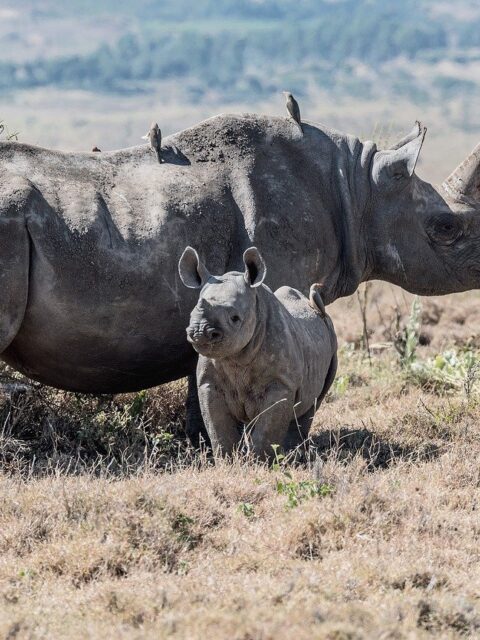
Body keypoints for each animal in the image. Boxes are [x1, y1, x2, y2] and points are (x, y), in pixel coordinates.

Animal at [178, 245, 337, 457]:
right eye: (190, 314)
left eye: (235, 318)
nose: (199, 332)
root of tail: (315, 309)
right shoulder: (209, 383)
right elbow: (218, 428)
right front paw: (228, 460)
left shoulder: (281, 384)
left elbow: (267, 430)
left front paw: (259, 461)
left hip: (331, 340)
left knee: (311, 404)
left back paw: (292, 455)